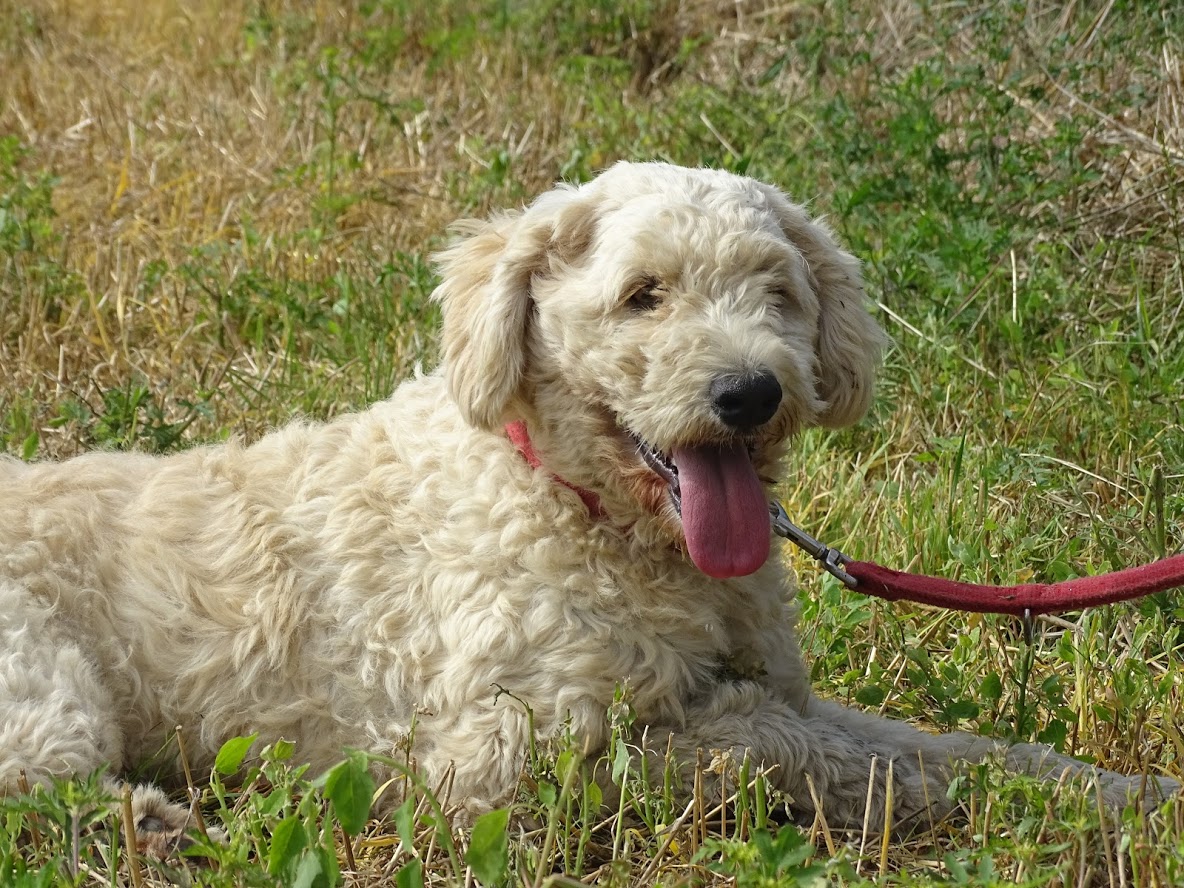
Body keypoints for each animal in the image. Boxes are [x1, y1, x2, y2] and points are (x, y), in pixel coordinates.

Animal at [1, 162, 1175, 850]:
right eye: (642, 295)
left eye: (777, 291)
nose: (749, 394)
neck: (573, 504)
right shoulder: (495, 762)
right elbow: (773, 743)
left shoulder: (784, 687)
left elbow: (944, 746)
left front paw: (1107, 795)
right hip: (46, 688)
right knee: (36, 789)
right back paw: (151, 825)